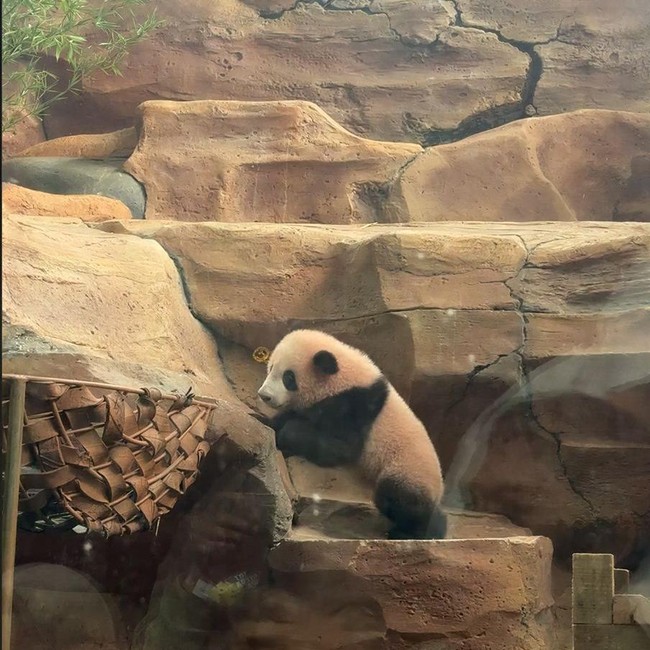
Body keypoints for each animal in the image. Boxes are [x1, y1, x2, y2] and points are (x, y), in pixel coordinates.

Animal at [257, 329, 447, 540]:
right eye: (270, 367)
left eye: (288, 378)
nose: (264, 395)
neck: (342, 378)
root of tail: (438, 491)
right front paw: (264, 421)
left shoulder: (355, 406)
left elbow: (340, 449)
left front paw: (288, 434)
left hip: (407, 469)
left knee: (398, 498)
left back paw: (411, 531)